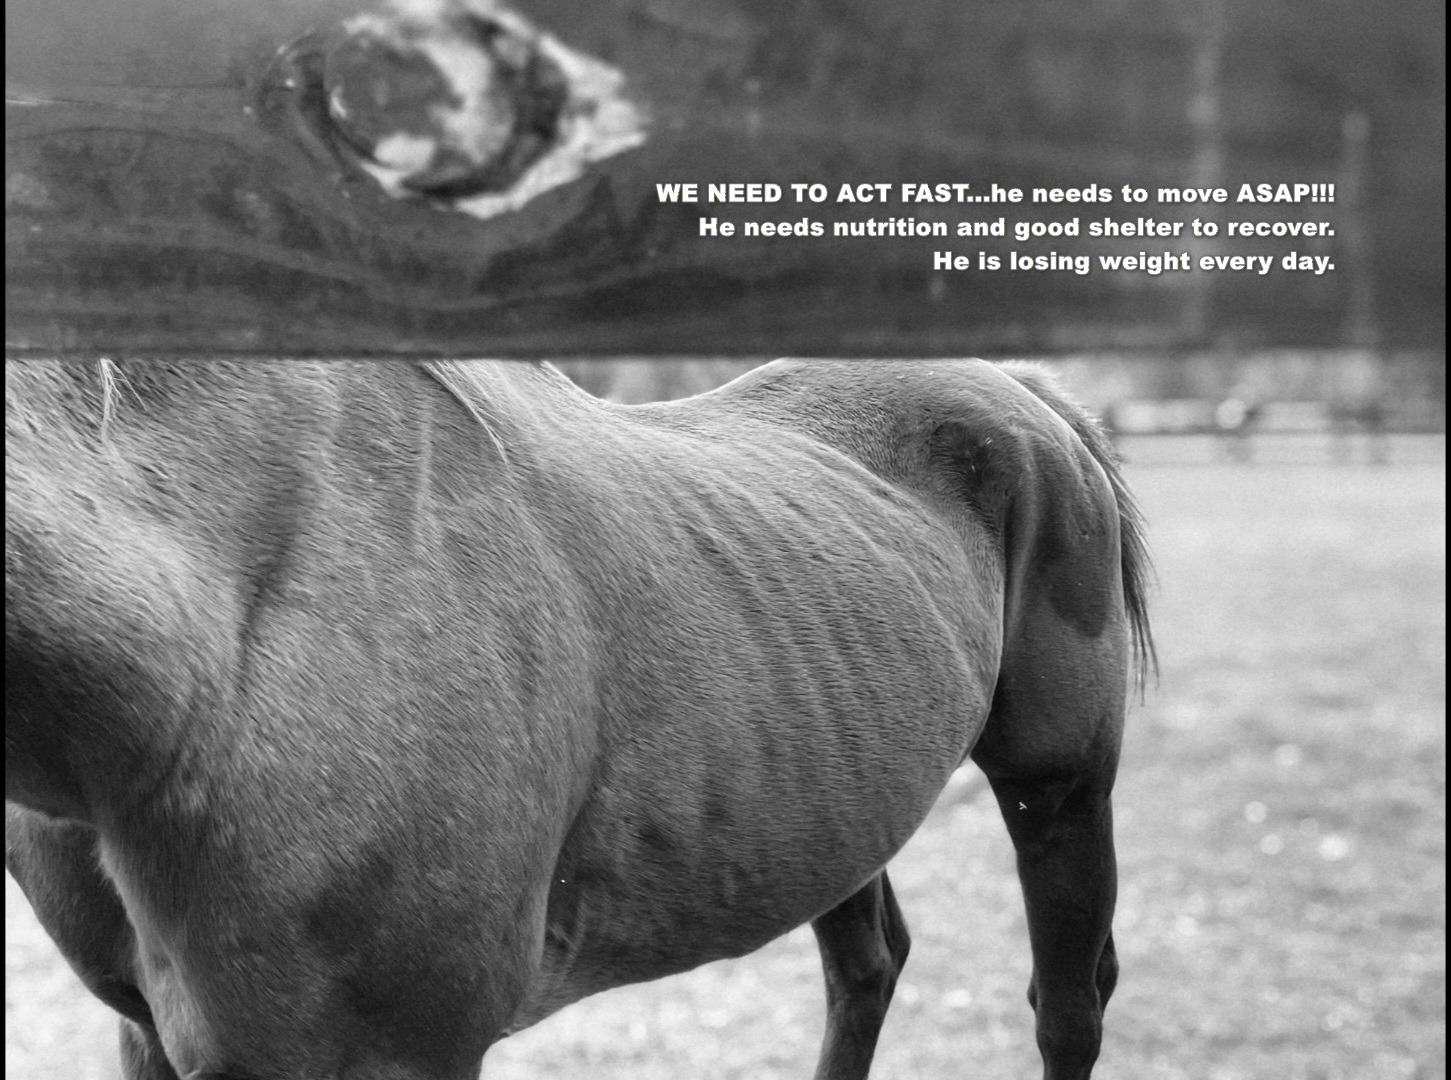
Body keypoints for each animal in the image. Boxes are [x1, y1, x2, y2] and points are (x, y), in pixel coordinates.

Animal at [6, 358, 1153, 1080]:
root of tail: (1028, 396)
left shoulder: (387, 1050)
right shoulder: (148, 1027)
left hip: (1059, 786)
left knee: (1068, 1009)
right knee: (866, 969)